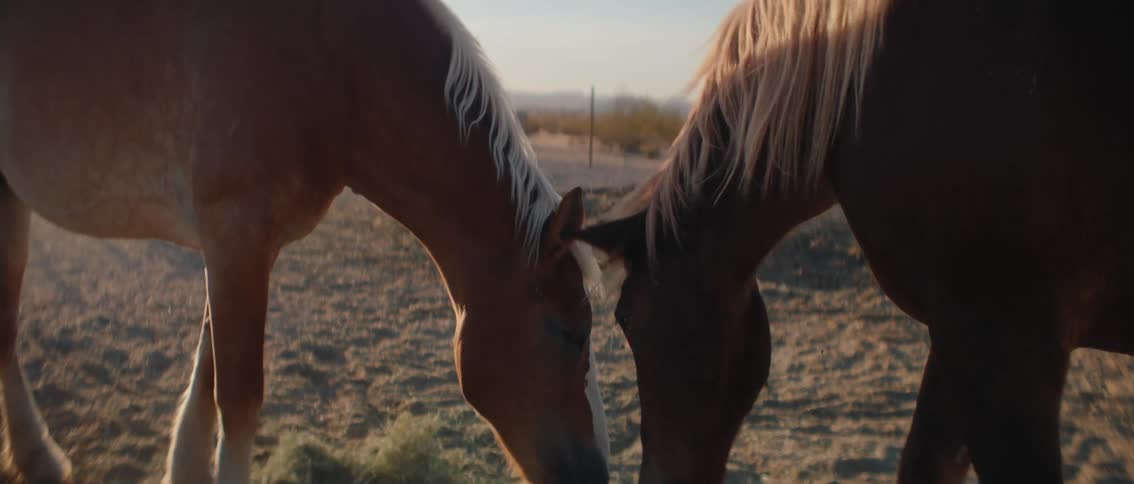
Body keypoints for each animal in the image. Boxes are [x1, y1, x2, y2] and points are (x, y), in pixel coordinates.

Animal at [0, 1, 612, 483]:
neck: (330, 62)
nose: (596, 475)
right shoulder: (235, 237)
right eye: (573, 335)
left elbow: (207, 375)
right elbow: (238, 399)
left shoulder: (238, 250)